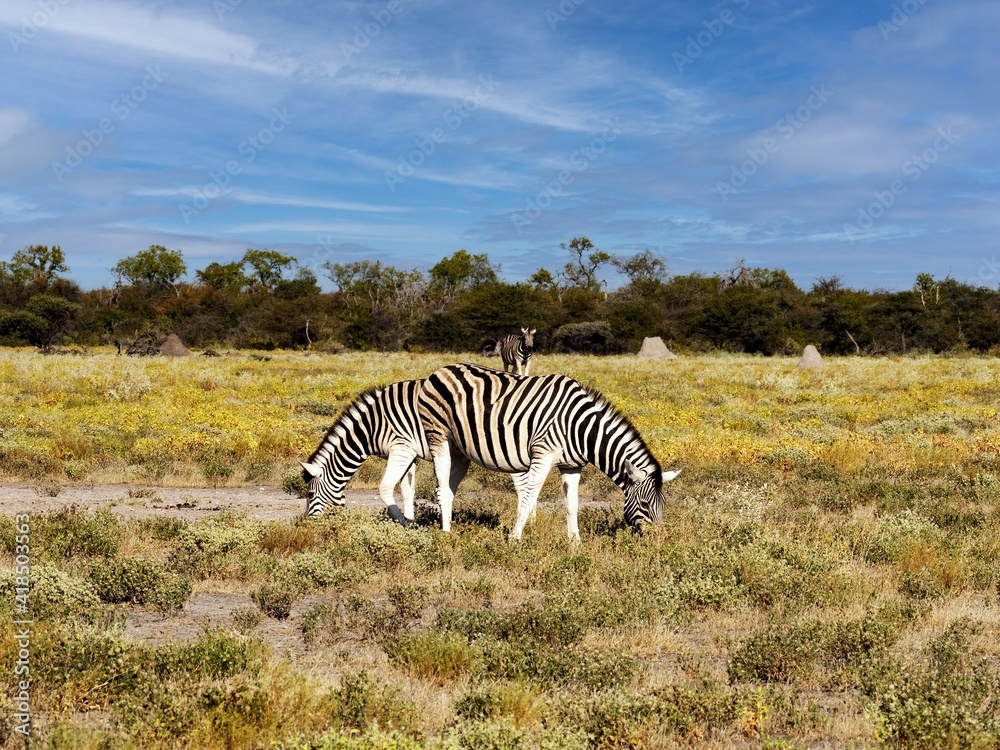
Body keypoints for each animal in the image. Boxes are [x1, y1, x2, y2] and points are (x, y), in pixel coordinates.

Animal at [299, 378, 541, 527]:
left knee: (523, 486)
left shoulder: (401, 449)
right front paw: (410, 520)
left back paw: (527, 523)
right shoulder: (410, 455)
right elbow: (407, 491)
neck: (371, 427)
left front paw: (405, 522)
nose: (306, 524)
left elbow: (386, 488)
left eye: (309, 495)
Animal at [418, 363, 680, 540]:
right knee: (442, 487)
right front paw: (514, 539)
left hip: (460, 451)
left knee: (448, 489)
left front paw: (575, 543)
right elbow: (528, 497)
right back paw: (445, 534)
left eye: (663, 505)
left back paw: (450, 528)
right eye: (645, 504)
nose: (658, 540)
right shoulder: (542, 456)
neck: (580, 427)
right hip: (438, 437)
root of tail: (440, 370)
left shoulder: (572, 466)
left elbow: (572, 504)